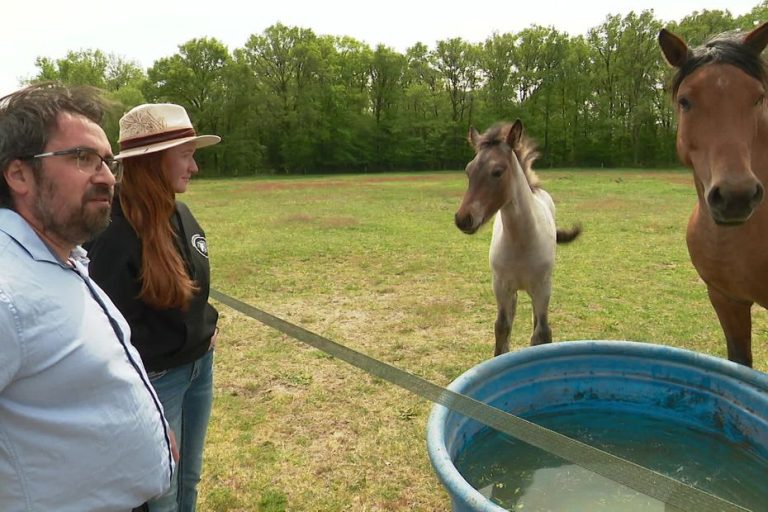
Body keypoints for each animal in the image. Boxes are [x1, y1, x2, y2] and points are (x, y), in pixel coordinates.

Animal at [454, 120, 581, 356]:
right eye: (468, 171)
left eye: (498, 171)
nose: (463, 219)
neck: (521, 241)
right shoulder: (501, 286)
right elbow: (502, 328)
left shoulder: (542, 287)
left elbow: (542, 333)